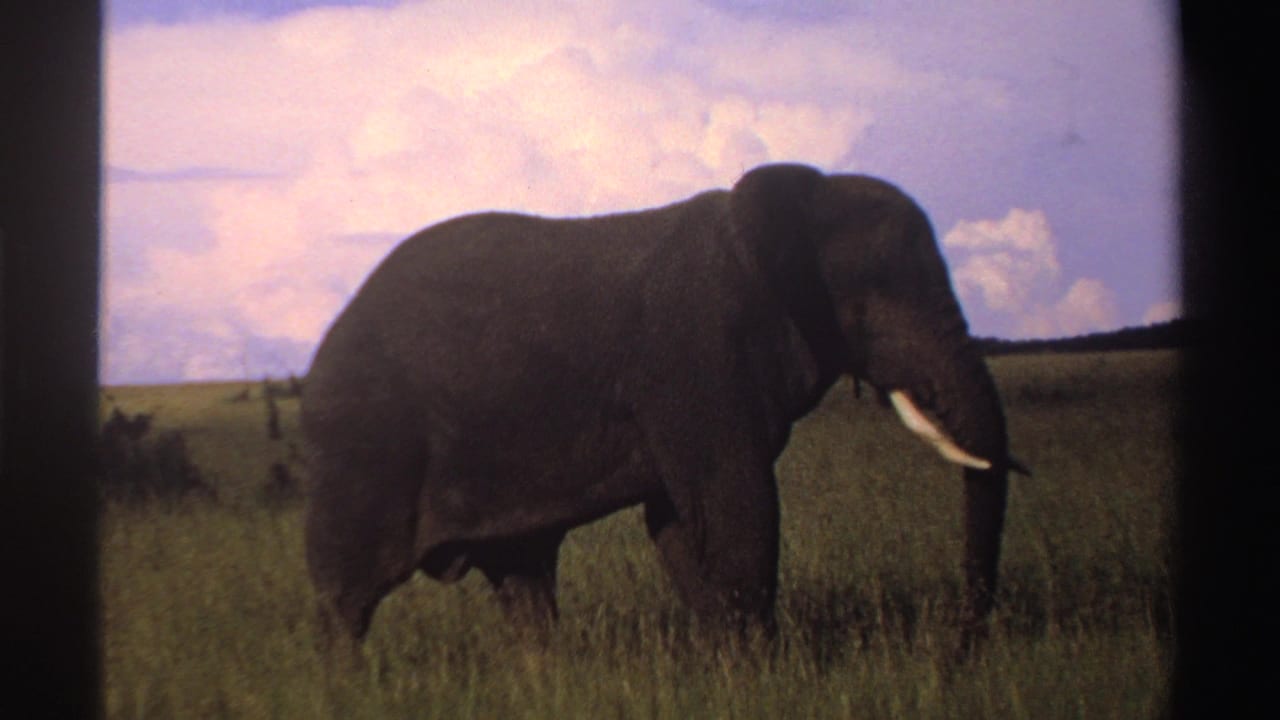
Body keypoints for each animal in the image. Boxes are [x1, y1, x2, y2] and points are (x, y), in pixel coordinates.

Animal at [302, 163, 1022, 656]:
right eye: (877, 300)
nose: (959, 650)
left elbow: (680, 520)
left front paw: (729, 666)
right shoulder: (697, 353)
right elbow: (737, 504)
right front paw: (761, 674)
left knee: (522, 579)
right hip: (362, 452)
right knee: (346, 599)